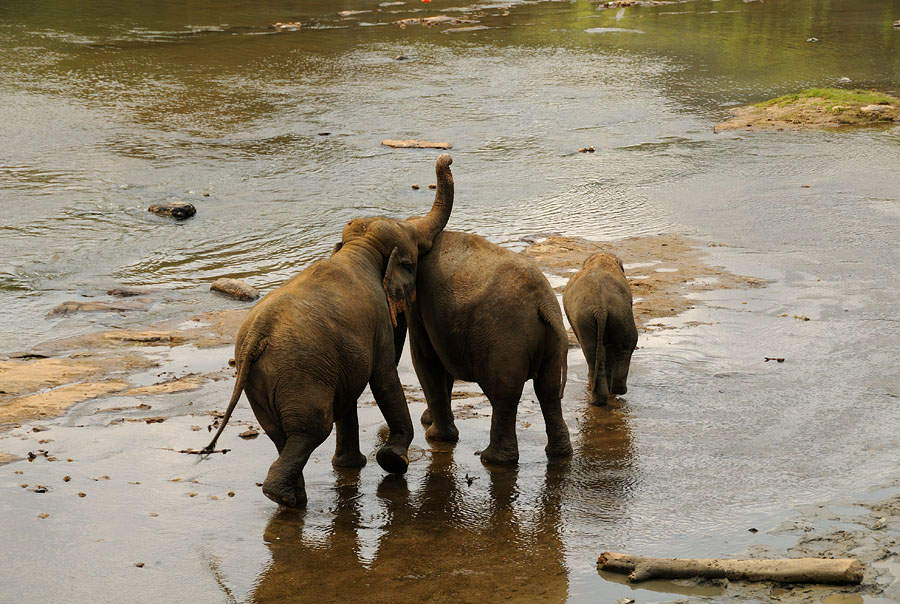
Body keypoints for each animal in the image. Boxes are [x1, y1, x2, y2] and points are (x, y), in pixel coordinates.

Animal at [207, 153, 454, 508]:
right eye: (414, 256)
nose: (447, 157)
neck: (359, 247)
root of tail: (256, 337)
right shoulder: (378, 321)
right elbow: (383, 377)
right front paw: (393, 461)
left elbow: (351, 390)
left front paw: (352, 466)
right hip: (300, 376)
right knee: (311, 429)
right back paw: (288, 499)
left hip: (262, 382)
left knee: (282, 434)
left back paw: (292, 499)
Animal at [342, 223, 572, 468]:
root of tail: (544, 303)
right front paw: (430, 422)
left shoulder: (420, 307)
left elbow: (425, 358)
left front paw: (435, 436)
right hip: (549, 342)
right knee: (548, 391)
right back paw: (558, 453)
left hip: (506, 342)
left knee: (505, 396)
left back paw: (492, 460)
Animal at [564, 250, 640, 406]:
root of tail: (600, 307)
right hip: (617, 313)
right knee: (625, 345)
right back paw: (612, 392)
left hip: (589, 317)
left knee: (594, 351)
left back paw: (598, 397)